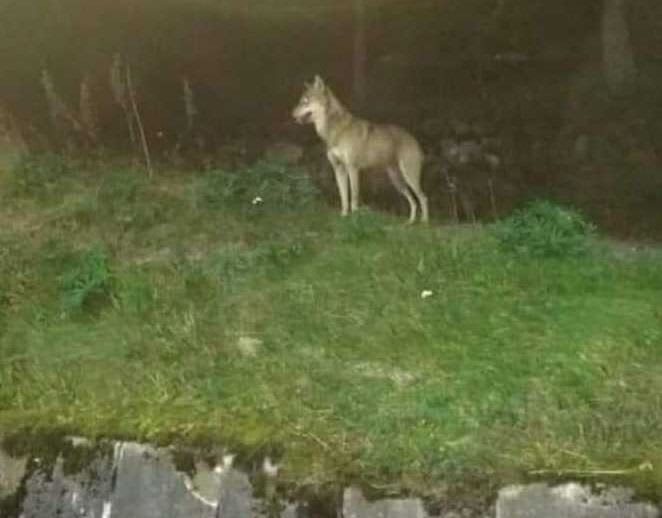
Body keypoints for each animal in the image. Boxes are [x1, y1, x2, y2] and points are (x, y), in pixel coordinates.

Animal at [292, 76, 429, 223]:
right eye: (301, 101)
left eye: (305, 102)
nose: (292, 114)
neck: (337, 131)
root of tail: (414, 140)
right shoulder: (338, 169)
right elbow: (344, 198)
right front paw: (344, 217)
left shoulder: (353, 168)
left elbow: (354, 198)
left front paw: (354, 219)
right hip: (397, 181)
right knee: (413, 201)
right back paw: (410, 222)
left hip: (409, 177)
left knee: (423, 198)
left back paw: (424, 222)